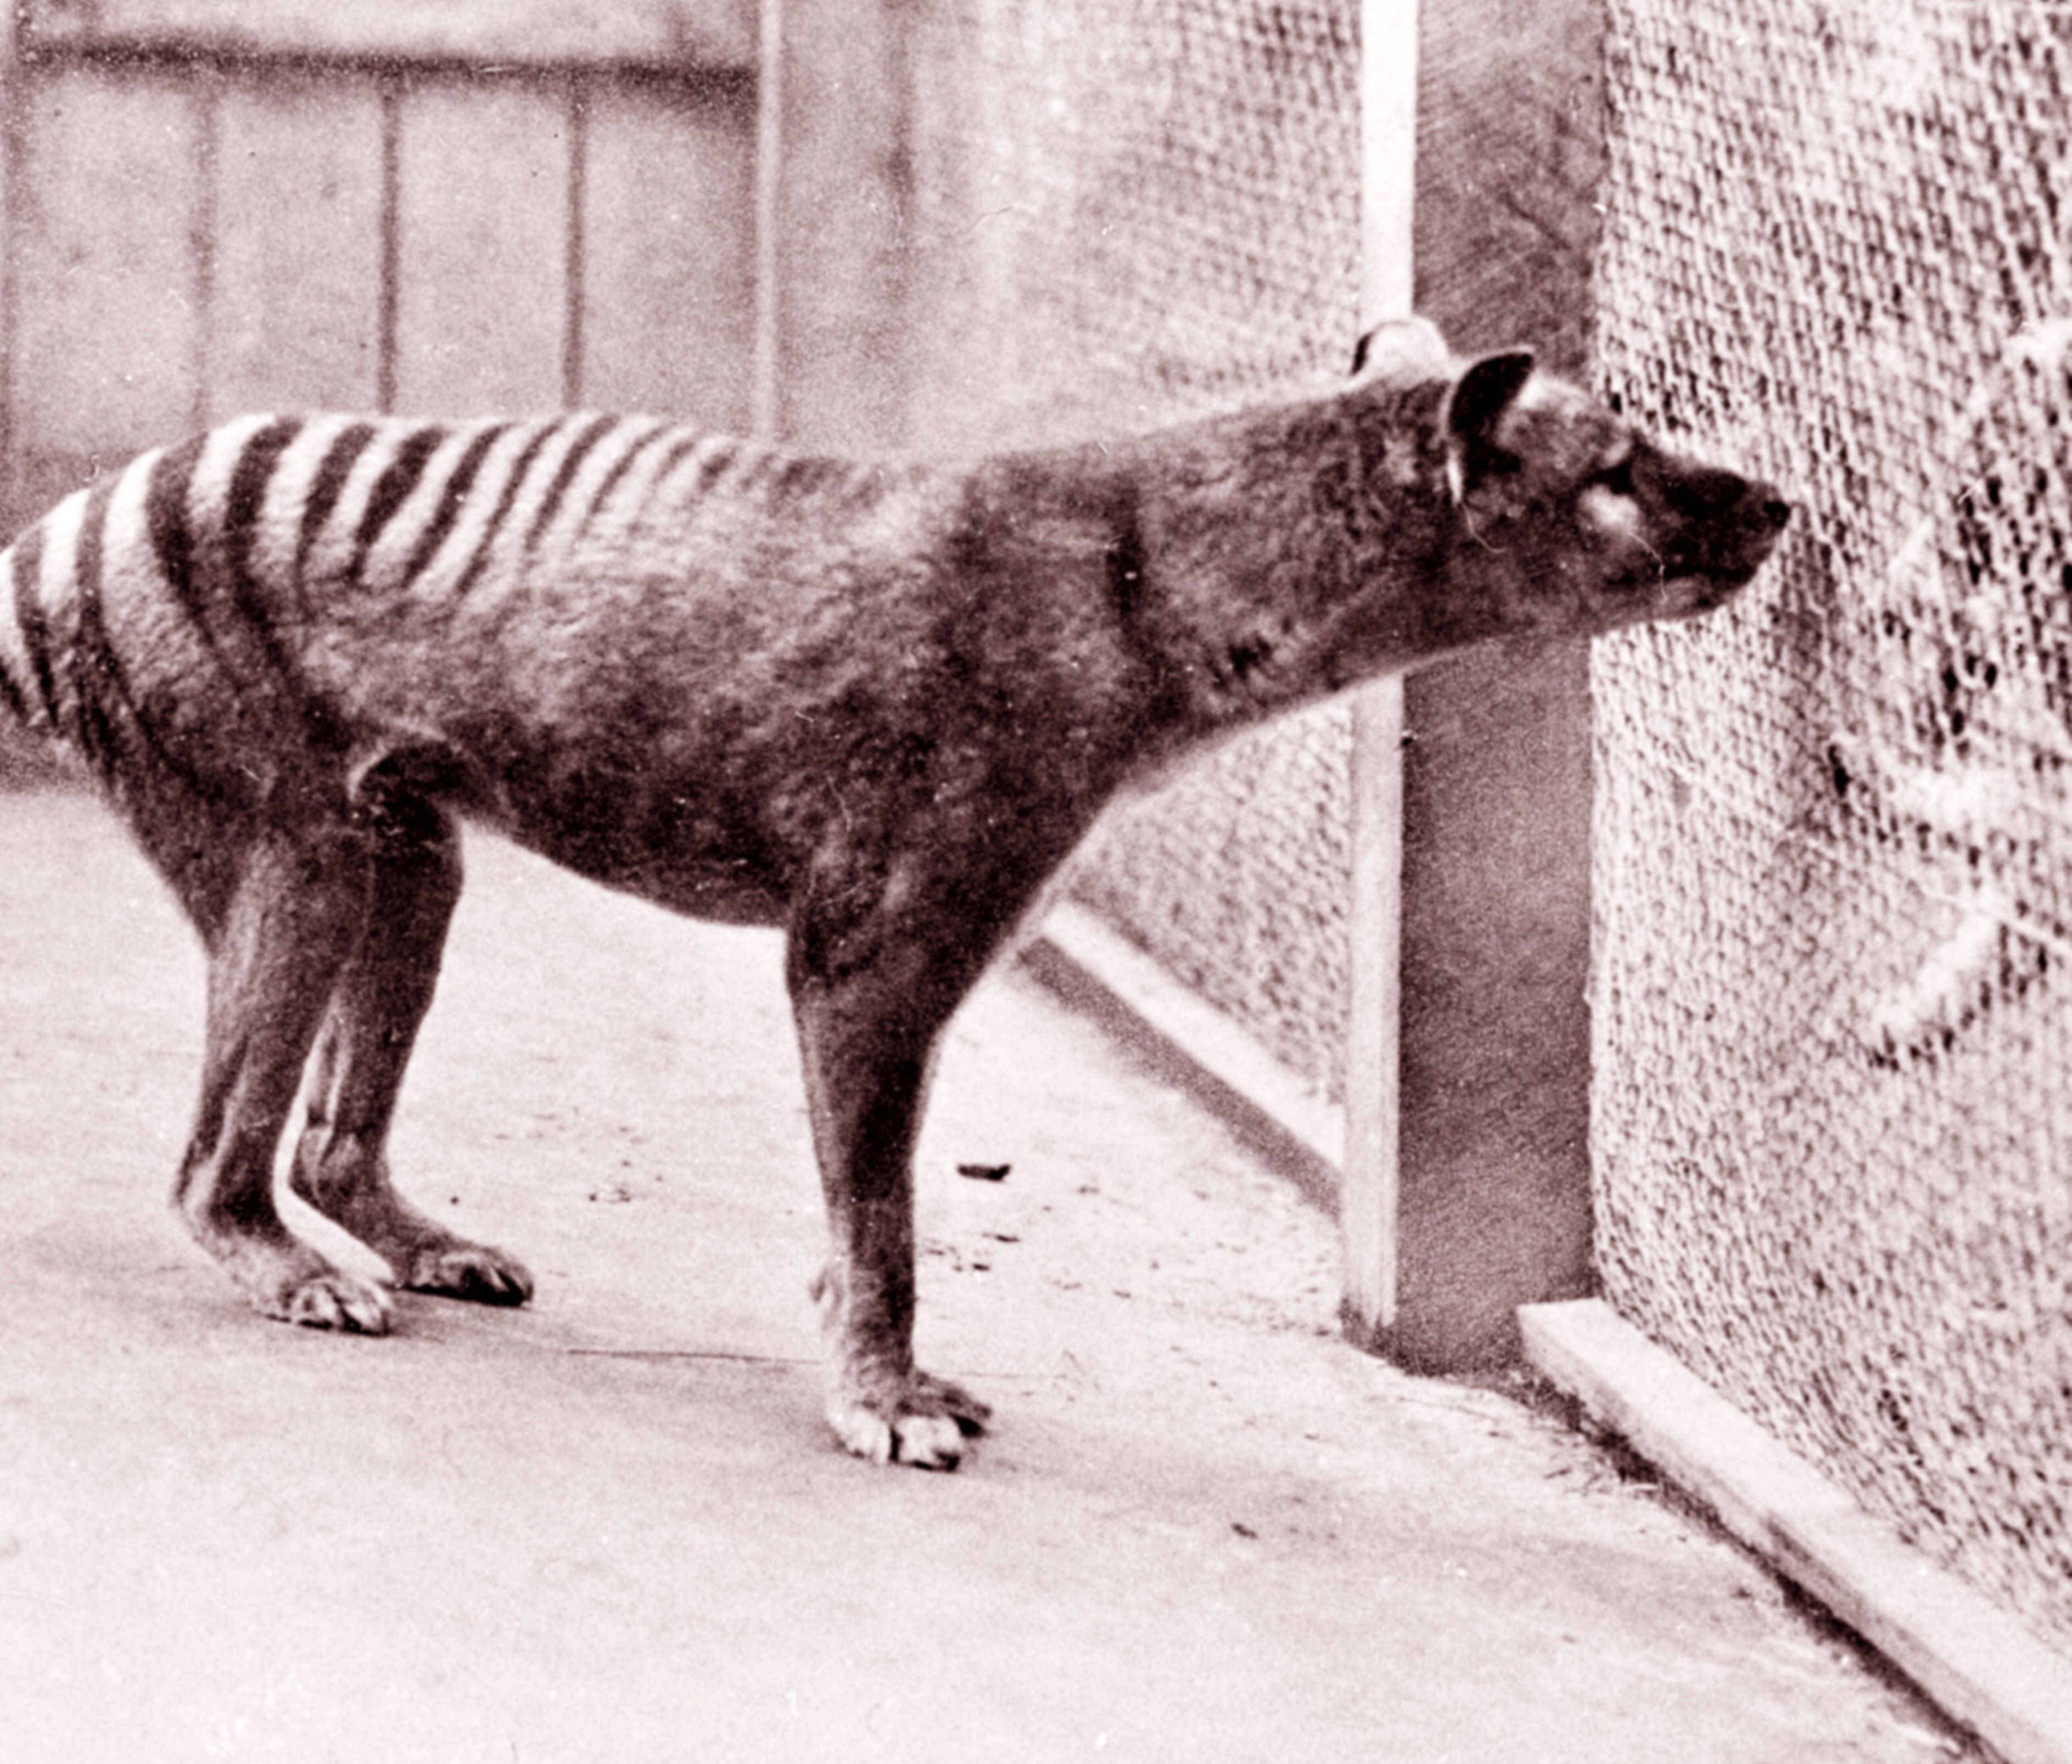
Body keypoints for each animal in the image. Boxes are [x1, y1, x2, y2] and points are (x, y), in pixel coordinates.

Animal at [0, 317, 1788, 1468]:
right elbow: (884, 1218)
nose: (1776, 498)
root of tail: (69, 525)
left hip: (408, 852)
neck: (1145, 579)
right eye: (1619, 466)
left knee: (330, 1126)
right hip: (293, 850)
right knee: (216, 1160)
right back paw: (289, 1267)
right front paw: (886, 1394)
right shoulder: (875, 945)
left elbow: (860, 1213)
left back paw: (415, 1241)